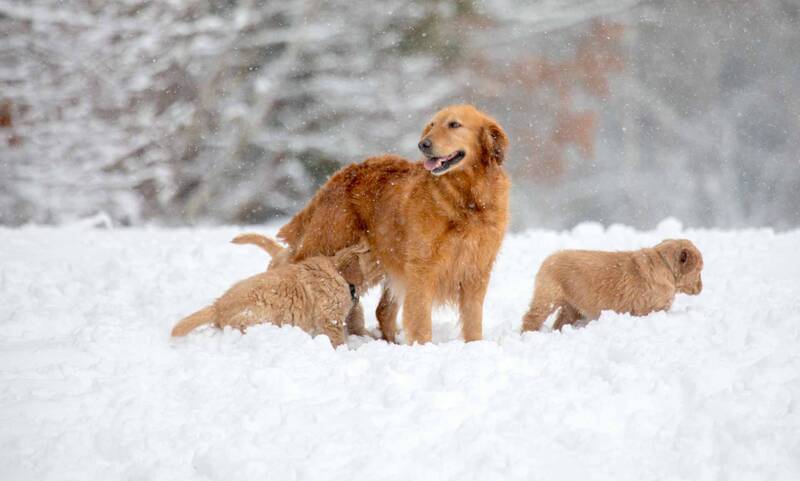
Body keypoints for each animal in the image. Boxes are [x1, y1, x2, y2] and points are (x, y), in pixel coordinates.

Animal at [170, 237, 382, 344]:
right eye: (370, 251)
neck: (340, 273)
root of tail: (217, 307)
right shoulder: (330, 319)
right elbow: (337, 340)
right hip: (259, 315)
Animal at [520, 239, 704, 332]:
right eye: (699, 270)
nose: (701, 288)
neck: (665, 264)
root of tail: (550, 257)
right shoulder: (652, 308)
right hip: (547, 298)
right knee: (531, 318)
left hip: (572, 307)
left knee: (560, 322)